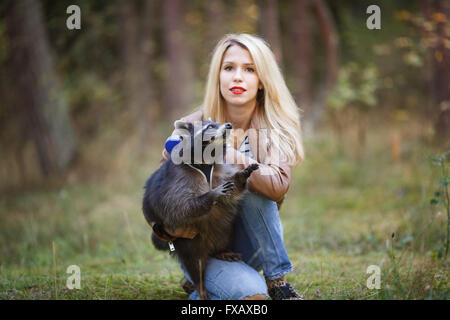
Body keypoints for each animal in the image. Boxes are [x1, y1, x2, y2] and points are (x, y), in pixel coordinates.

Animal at [142, 119, 258, 300]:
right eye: (210, 126)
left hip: (223, 231)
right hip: (188, 243)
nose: (229, 125)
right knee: (194, 263)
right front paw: (211, 194)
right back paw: (200, 284)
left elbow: (233, 190)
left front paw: (241, 175)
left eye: (218, 122)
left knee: (223, 232)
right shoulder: (177, 178)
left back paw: (222, 250)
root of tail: (208, 248)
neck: (206, 158)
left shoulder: (220, 169)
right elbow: (181, 207)